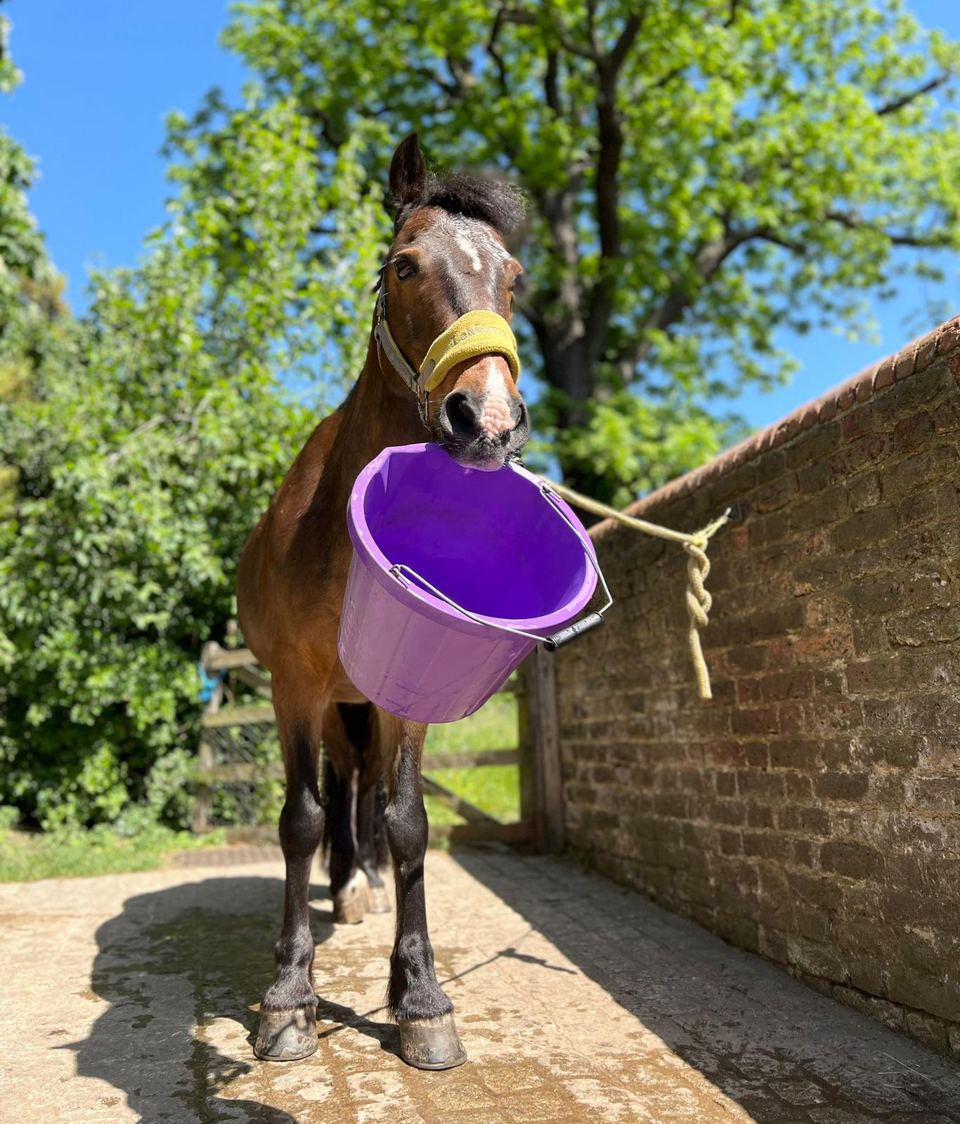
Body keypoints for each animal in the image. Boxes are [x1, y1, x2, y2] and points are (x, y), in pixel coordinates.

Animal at [236, 132, 528, 1070]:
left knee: (363, 791)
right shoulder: (294, 685)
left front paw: (421, 997)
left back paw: (359, 882)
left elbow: (406, 821)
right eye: (404, 266)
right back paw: (340, 888)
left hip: (360, 701)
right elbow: (299, 819)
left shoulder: (405, 698)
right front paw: (289, 996)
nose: (489, 420)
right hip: (332, 701)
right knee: (336, 791)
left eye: (513, 277)